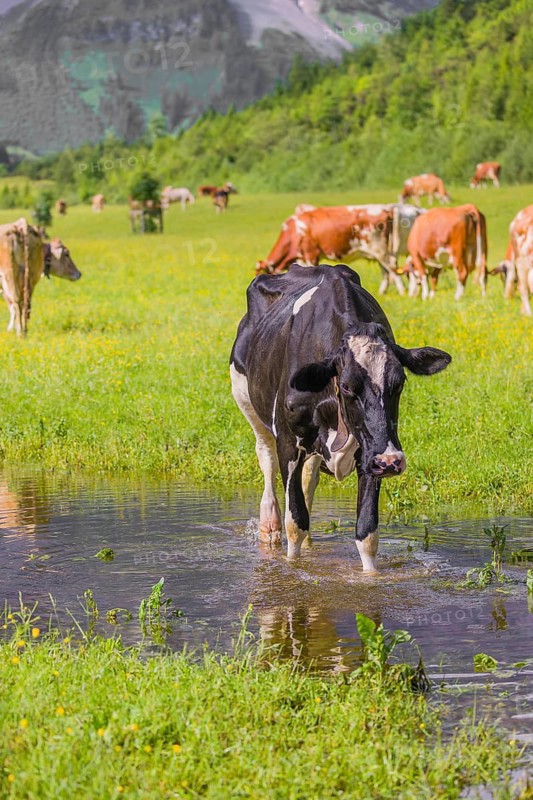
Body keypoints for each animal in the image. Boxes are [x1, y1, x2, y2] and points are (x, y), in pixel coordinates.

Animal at [230, 263, 451, 571]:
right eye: (346, 386)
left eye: (400, 382)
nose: (391, 461)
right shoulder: (288, 442)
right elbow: (295, 523)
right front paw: (292, 568)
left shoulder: (370, 452)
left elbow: (367, 534)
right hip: (246, 400)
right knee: (266, 459)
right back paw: (269, 527)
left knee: (309, 478)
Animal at [255, 204, 424, 295]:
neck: (295, 230)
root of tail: (386, 209)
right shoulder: (301, 257)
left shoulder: (311, 254)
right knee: (386, 271)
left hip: (380, 250)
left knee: (392, 269)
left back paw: (402, 291)